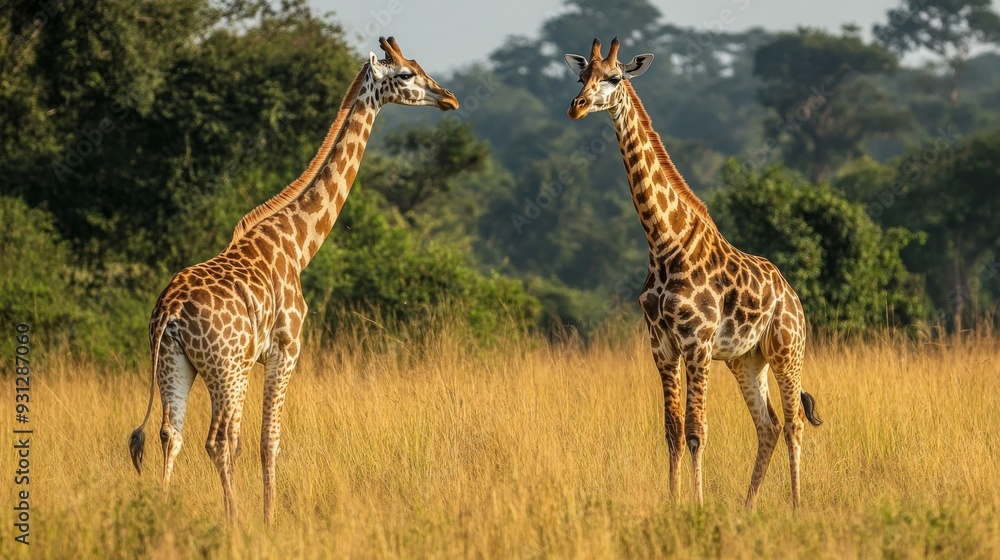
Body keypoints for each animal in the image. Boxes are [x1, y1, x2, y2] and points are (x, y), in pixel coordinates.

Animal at [127, 37, 459, 525]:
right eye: (405, 75)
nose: (449, 98)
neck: (299, 243)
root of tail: (168, 310)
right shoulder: (287, 349)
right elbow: (269, 441)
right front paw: (268, 518)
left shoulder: (257, 358)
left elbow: (249, 441)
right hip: (226, 367)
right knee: (217, 439)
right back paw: (233, 520)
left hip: (177, 361)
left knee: (172, 434)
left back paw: (162, 514)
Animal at [564, 38, 822, 508]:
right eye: (580, 76)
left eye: (615, 78)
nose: (577, 107)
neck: (664, 242)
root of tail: (793, 295)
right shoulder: (662, 346)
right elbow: (672, 431)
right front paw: (673, 502)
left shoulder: (697, 344)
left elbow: (697, 431)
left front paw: (697, 506)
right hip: (746, 360)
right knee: (769, 425)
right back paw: (747, 507)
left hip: (786, 350)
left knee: (794, 424)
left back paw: (796, 507)